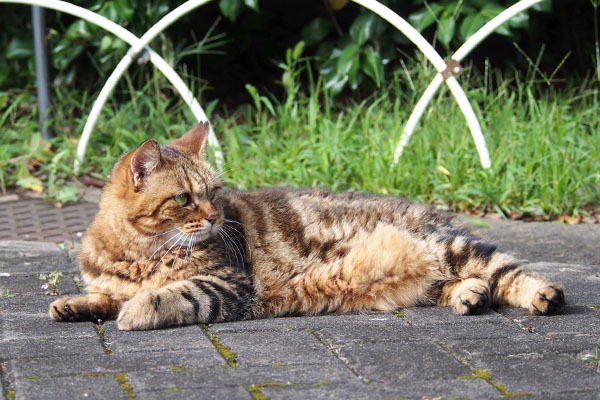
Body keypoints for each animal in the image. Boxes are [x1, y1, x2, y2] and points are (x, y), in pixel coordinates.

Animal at [49, 123, 564, 330]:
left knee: (509, 272)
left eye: (214, 192)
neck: (137, 252)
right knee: (461, 284)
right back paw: (469, 296)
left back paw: (542, 295)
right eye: (183, 199)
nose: (215, 217)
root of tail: (438, 213)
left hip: (450, 247)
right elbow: (102, 296)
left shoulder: (229, 284)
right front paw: (72, 305)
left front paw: (136, 310)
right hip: (431, 270)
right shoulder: (110, 282)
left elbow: (168, 295)